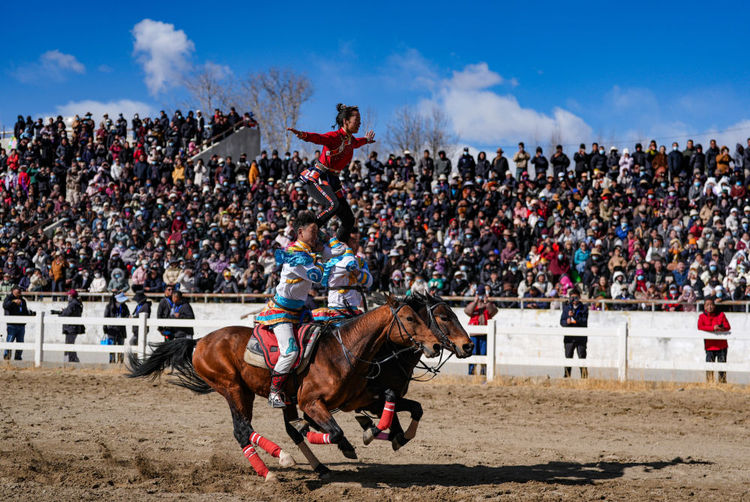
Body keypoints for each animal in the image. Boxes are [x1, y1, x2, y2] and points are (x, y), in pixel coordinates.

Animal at [128, 296, 446, 480]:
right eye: (409, 318)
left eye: (423, 317)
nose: (435, 345)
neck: (343, 353)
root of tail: (200, 340)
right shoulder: (310, 403)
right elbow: (334, 432)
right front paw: (343, 441)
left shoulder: (360, 397)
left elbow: (391, 402)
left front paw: (373, 432)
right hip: (233, 388)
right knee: (242, 430)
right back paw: (276, 464)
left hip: (253, 393)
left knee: (262, 429)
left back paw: (307, 463)